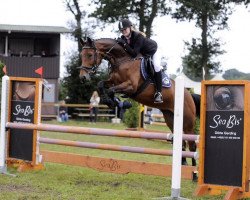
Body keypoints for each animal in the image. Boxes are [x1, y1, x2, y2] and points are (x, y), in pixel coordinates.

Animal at [78, 37, 199, 166]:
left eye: (90, 55)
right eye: (82, 55)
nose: (83, 77)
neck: (122, 61)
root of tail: (188, 93)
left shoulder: (131, 86)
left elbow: (111, 90)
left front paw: (116, 102)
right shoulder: (113, 81)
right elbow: (101, 84)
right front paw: (114, 102)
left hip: (187, 122)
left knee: (192, 144)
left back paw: (193, 170)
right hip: (170, 118)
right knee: (181, 142)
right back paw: (184, 163)